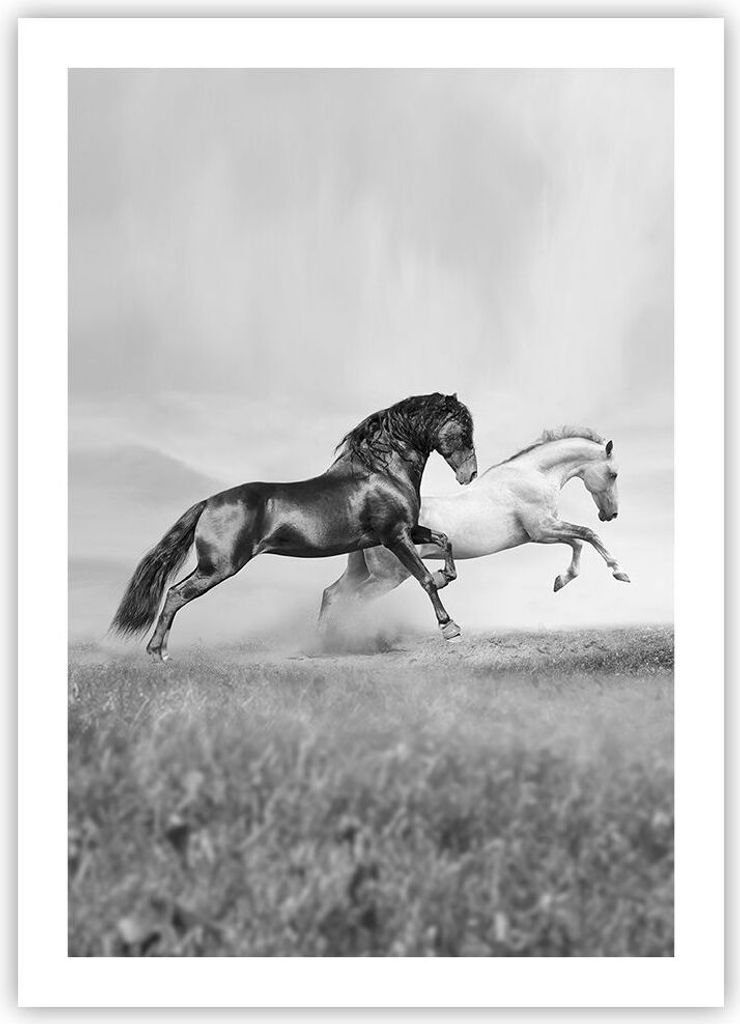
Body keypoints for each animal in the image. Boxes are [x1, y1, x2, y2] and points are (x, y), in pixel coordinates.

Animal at [111, 392, 478, 660]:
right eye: (463, 430)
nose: (470, 474)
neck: (381, 473)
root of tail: (208, 502)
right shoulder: (394, 536)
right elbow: (425, 579)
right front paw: (450, 628)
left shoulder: (407, 530)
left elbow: (444, 540)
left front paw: (447, 575)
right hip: (218, 566)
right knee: (175, 594)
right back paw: (158, 653)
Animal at [318, 426, 630, 626]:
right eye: (613, 474)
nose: (611, 514)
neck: (533, 475)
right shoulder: (542, 530)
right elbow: (588, 535)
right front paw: (621, 573)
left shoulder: (543, 532)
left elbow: (578, 542)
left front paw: (561, 580)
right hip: (387, 577)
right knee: (354, 600)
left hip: (362, 571)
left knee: (332, 594)